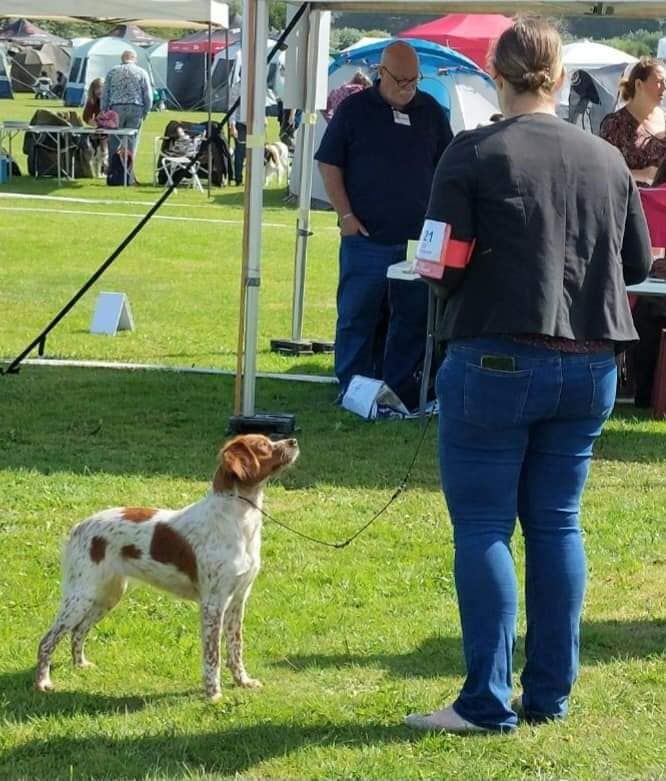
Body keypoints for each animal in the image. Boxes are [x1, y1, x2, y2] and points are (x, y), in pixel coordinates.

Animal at [33, 432, 298, 700]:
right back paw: (43, 682)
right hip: (81, 596)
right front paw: (213, 694)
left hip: (108, 595)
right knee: (47, 640)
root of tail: (79, 527)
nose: (294, 441)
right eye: (263, 446)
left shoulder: (238, 599)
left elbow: (236, 647)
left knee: (78, 630)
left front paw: (243, 681)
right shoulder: (213, 603)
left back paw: (80, 664)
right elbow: (213, 655)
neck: (239, 520)